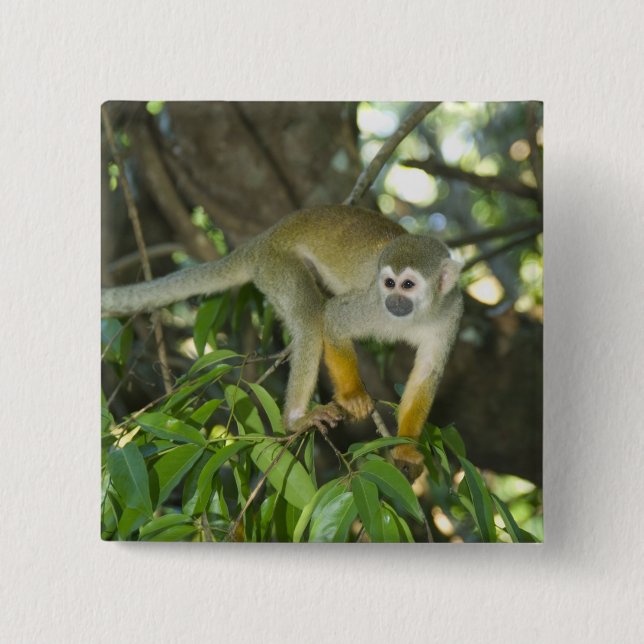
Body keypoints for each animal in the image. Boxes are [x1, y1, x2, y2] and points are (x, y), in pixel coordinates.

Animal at [102, 205, 463, 481]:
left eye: (408, 285)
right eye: (389, 283)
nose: (394, 301)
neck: (416, 314)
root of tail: (264, 238)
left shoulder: (450, 314)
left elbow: (427, 374)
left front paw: (405, 447)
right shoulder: (372, 303)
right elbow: (333, 320)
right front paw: (353, 396)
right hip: (277, 266)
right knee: (310, 318)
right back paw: (295, 419)